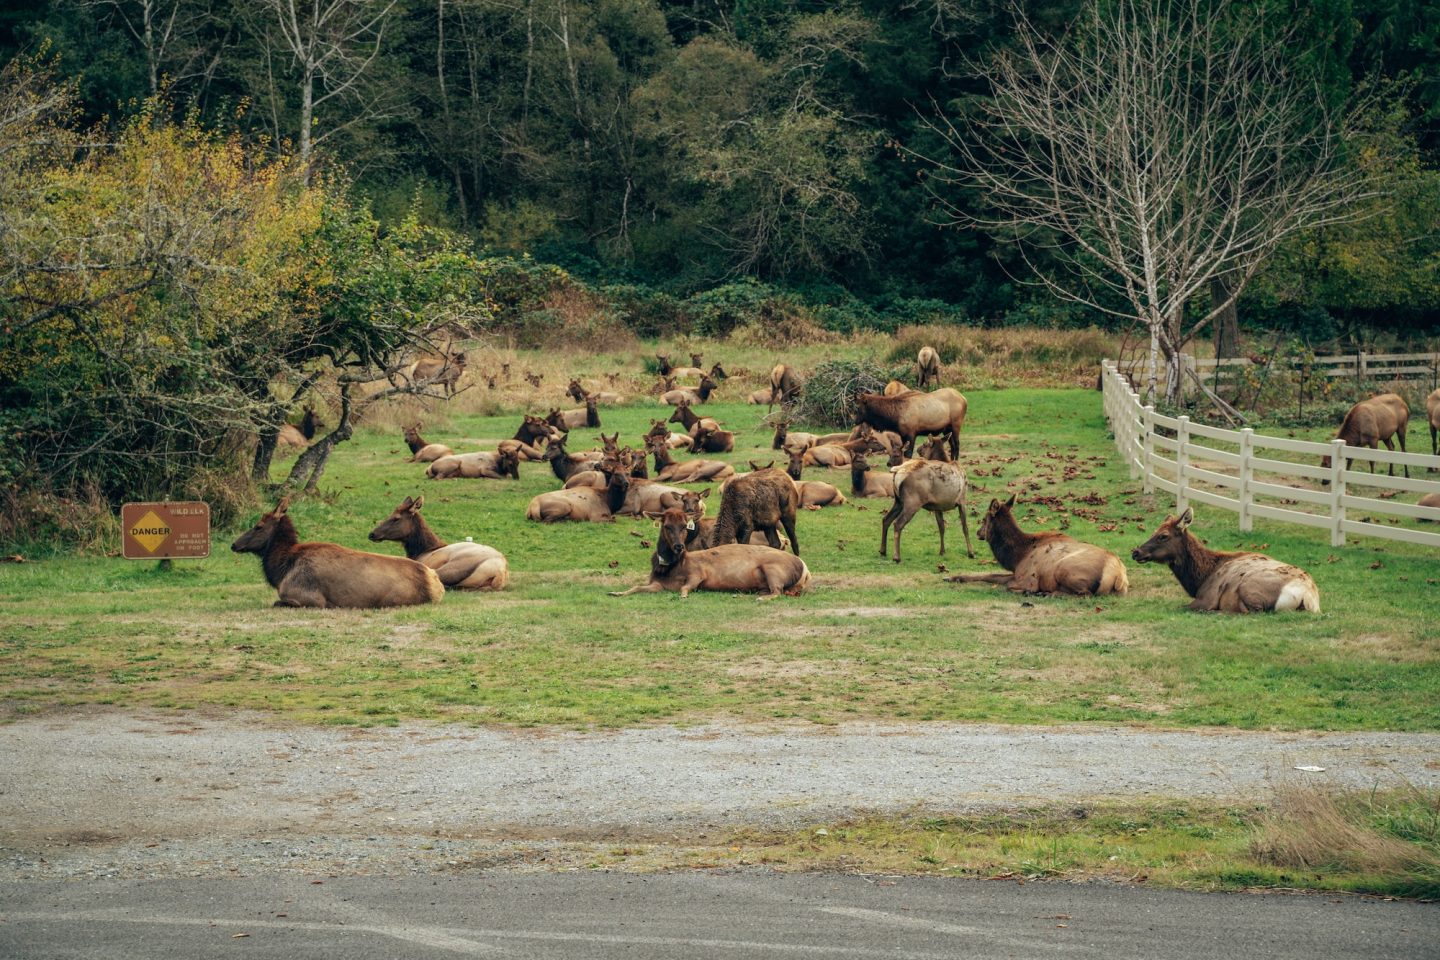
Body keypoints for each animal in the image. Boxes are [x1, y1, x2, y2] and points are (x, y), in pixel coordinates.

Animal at [230, 495, 440, 607]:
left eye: (258, 526)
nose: (234, 544)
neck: (282, 569)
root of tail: (435, 585)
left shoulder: (308, 598)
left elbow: (276, 603)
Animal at [607, 506, 812, 595]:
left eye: (684, 526)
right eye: (666, 526)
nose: (679, 546)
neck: (669, 568)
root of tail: (806, 570)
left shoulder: (699, 573)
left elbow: (685, 587)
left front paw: (683, 596)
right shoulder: (657, 584)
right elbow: (636, 587)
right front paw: (616, 593)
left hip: (773, 569)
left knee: (777, 591)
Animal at [944, 500, 1134, 595]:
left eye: (984, 519)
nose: (978, 532)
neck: (1016, 557)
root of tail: (1118, 575)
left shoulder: (1028, 579)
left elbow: (1010, 586)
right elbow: (989, 575)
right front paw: (951, 577)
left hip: (1064, 570)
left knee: (1084, 593)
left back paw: (1046, 593)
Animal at [1128, 506, 1319, 613]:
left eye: (1163, 536)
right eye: (1154, 532)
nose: (1135, 552)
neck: (1200, 579)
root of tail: (1308, 597)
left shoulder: (1207, 597)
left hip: (1249, 587)